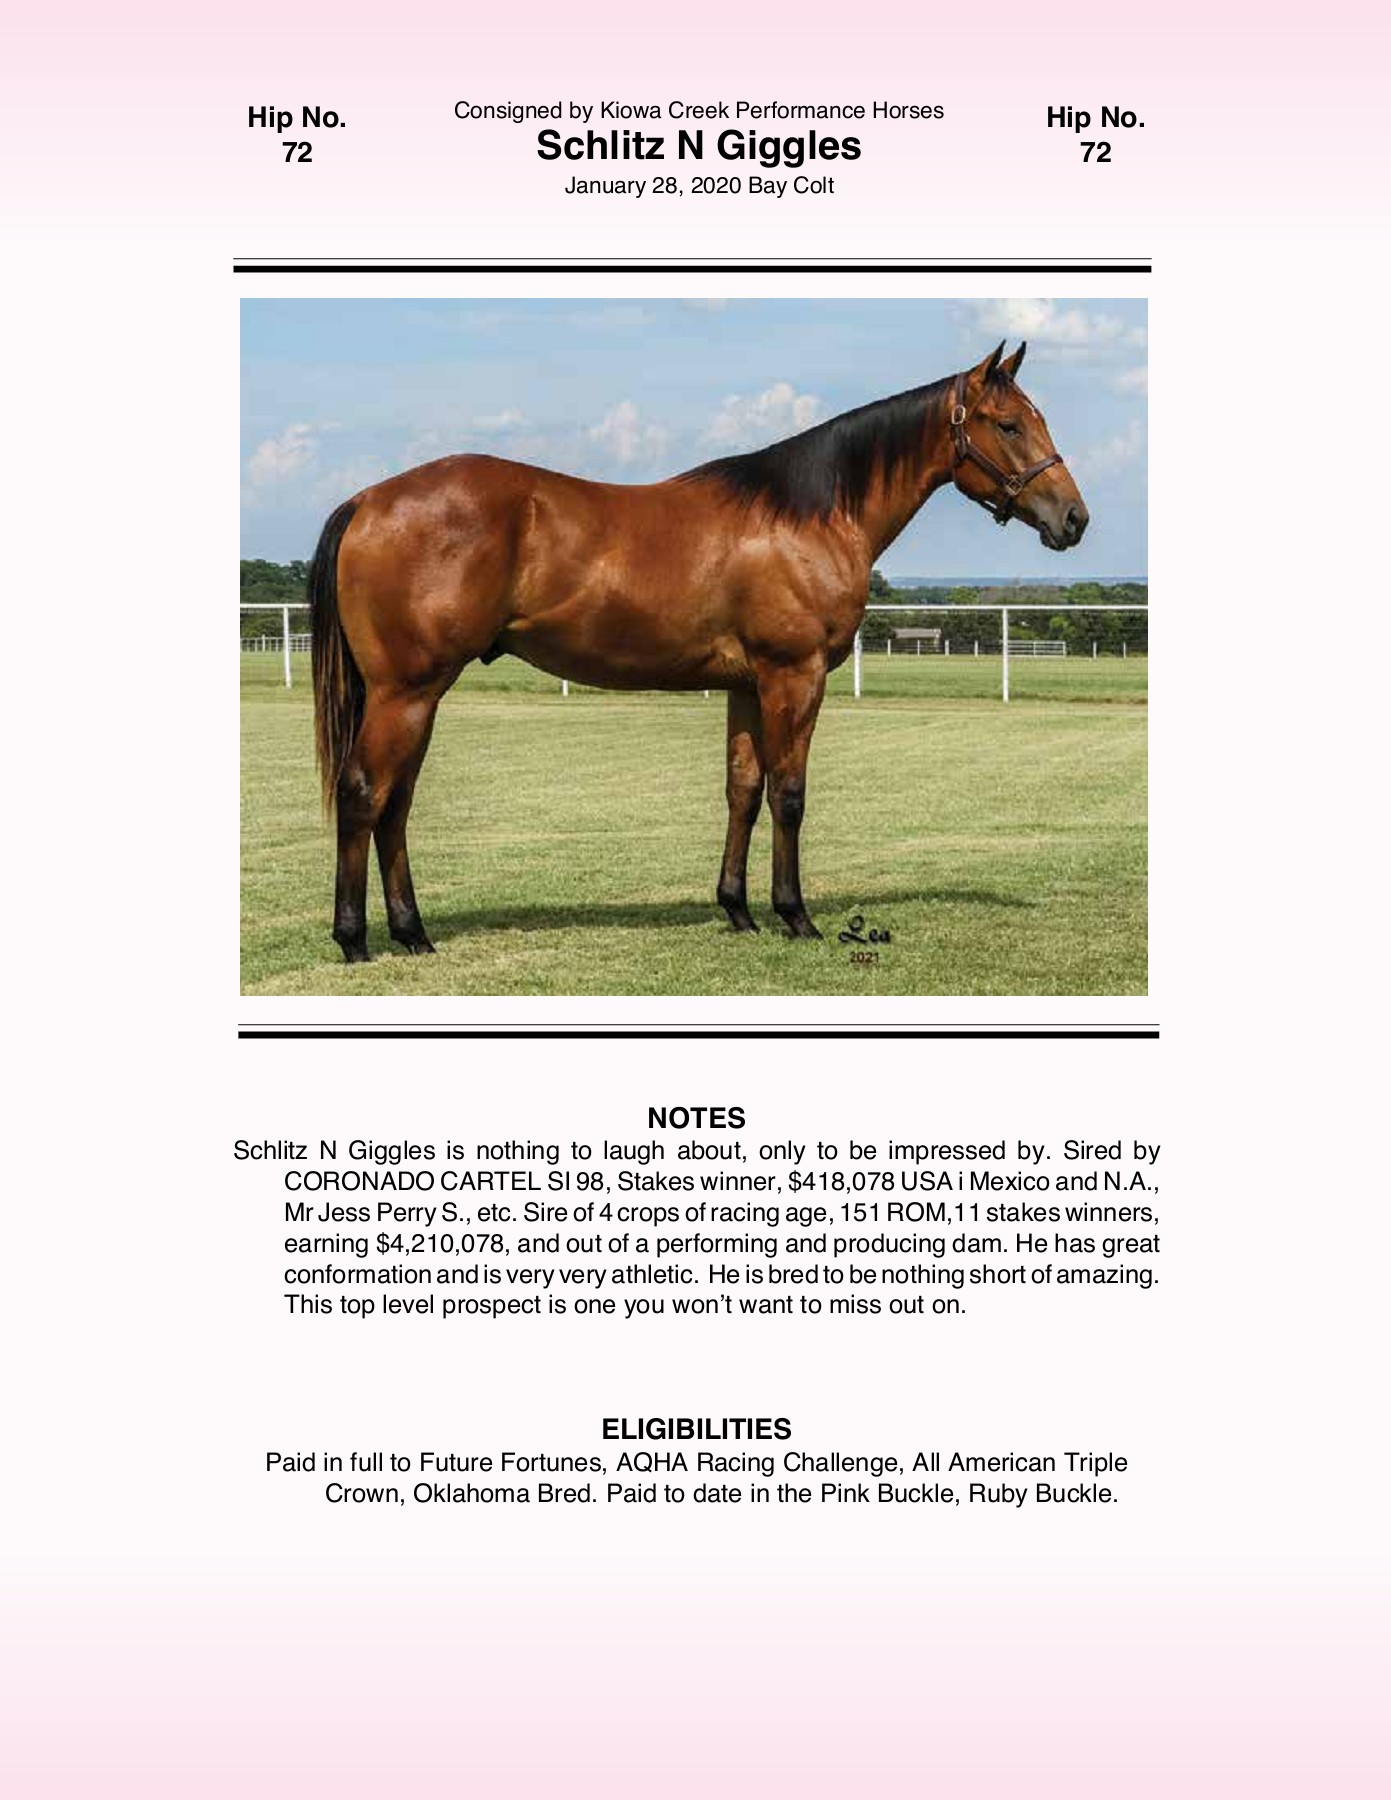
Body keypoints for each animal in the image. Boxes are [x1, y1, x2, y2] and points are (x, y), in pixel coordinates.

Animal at [308, 340, 1089, 962]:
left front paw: (737, 910)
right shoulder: (793, 677)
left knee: (396, 803)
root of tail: (368, 500)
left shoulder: (747, 685)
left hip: (417, 695)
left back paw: (412, 933)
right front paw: (795, 916)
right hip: (407, 691)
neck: (806, 514)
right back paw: (355, 939)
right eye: (1009, 424)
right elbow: (790, 794)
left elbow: (742, 791)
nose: (1074, 518)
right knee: (364, 793)